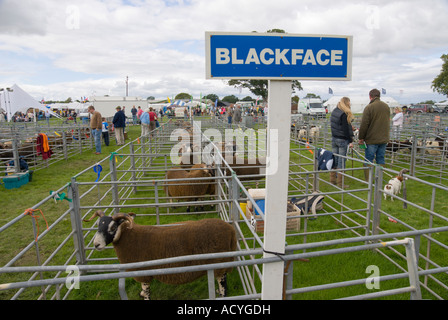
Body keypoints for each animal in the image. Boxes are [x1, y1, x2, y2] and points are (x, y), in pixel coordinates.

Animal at [85, 212, 238, 300]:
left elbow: (146, 290)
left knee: (223, 283)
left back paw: (222, 294)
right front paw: (141, 293)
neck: (128, 237)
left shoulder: (143, 271)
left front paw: (144, 295)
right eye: (98, 225)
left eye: (113, 227)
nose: (96, 244)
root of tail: (230, 230)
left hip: (220, 262)